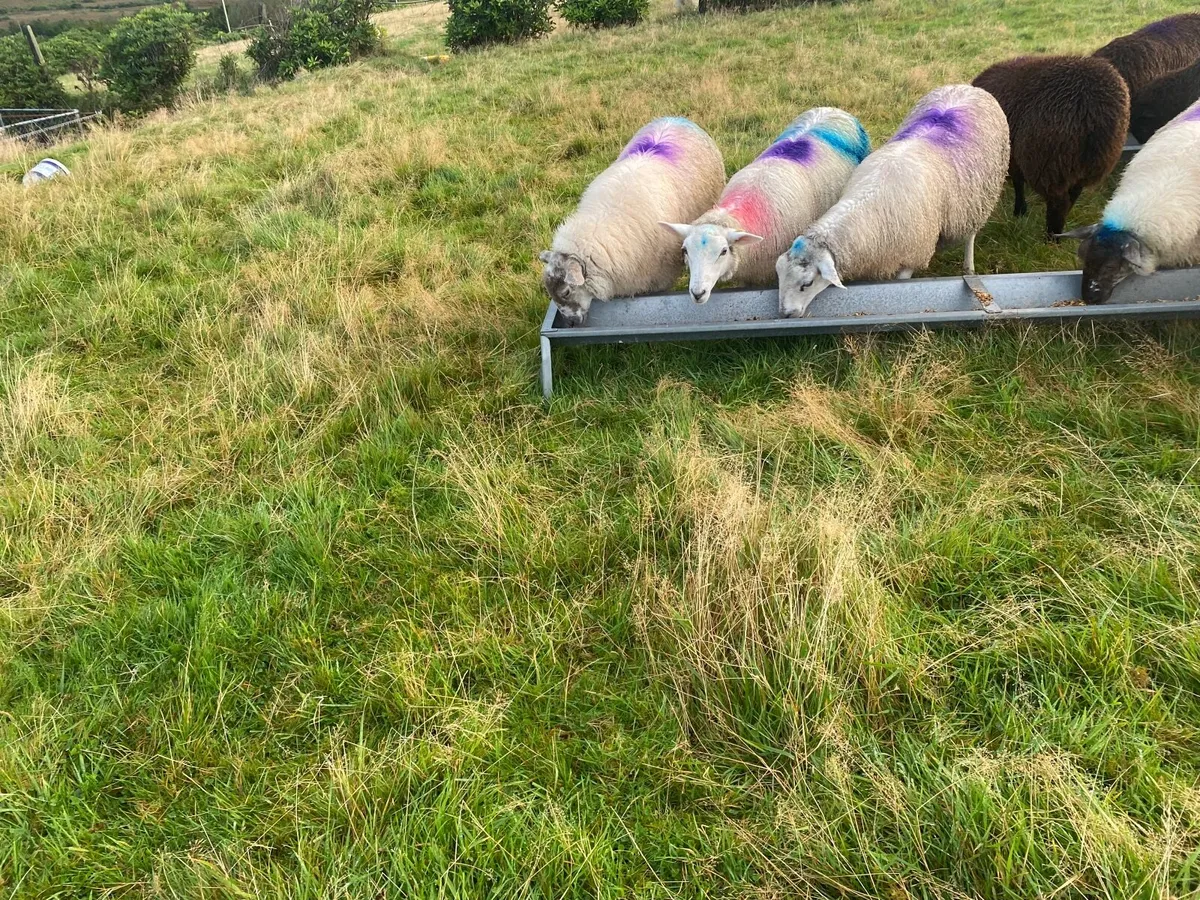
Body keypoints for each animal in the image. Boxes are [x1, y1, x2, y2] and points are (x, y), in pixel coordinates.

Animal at [775, 84, 1009, 318]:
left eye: (806, 284)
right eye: (779, 275)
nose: (785, 313)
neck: (873, 205)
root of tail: (967, 87)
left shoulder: (913, 252)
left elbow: (901, 282)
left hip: (979, 197)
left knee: (971, 234)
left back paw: (969, 267)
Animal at [972, 55, 1129, 239]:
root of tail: (1096, 113)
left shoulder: (1012, 154)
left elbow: (1018, 181)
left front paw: (1019, 210)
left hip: (1049, 161)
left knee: (1058, 202)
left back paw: (1052, 237)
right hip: (1091, 164)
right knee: (1072, 195)